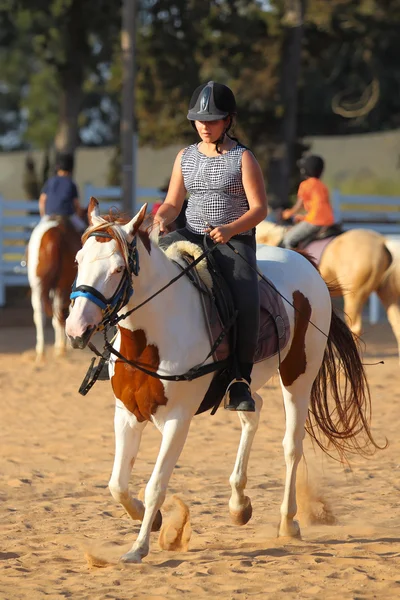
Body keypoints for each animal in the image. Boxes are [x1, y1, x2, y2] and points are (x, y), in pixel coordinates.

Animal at [27, 214, 81, 358]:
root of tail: (54, 233)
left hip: (38, 286)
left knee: (39, 315)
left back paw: (41, 351)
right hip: (62, 287)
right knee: (60, 314)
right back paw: (61, 349)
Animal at [64, 200, 380, 564]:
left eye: (118, 269)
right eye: (77, 260)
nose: (76, 328)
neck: (155, 332)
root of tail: (301, 260)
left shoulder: (178, 420)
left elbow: (156, 484)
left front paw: (138, 547)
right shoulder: (127, 414)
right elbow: (117, 484)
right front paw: (152, 520)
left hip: (298, 376)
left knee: (292, 446)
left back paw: (288, 522)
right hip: (245, 384)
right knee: (252, 414)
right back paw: (239, 504)